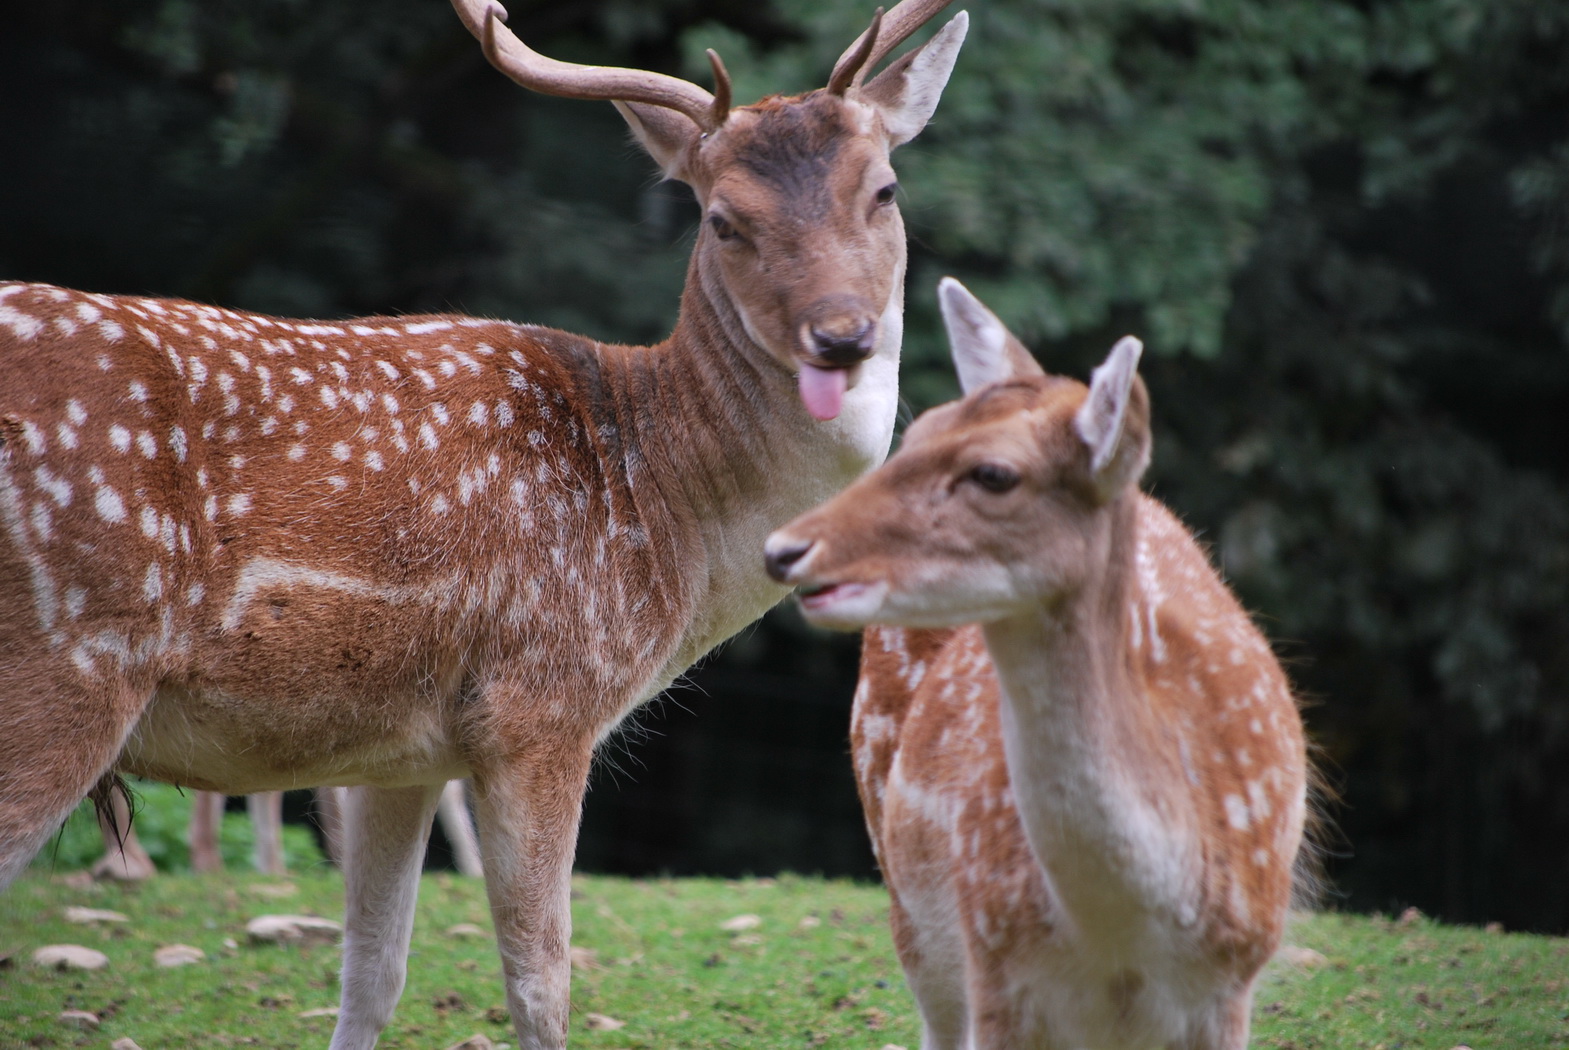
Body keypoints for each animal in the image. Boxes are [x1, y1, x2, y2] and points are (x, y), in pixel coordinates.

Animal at [0, 2, 966, 1042]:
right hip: (64, 664)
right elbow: (541, 983)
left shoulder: (396, 754)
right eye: (723, 218)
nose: (842, 336)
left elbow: (373, 976)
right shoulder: (538, 704)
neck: (662, 512)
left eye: (885, 188)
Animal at [765, 277, 1305, 1048]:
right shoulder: (995, 959)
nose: (784, 549)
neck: (1121, 940)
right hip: (907, 893)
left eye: (994, 473)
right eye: (918, 432)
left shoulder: (1234, 981)